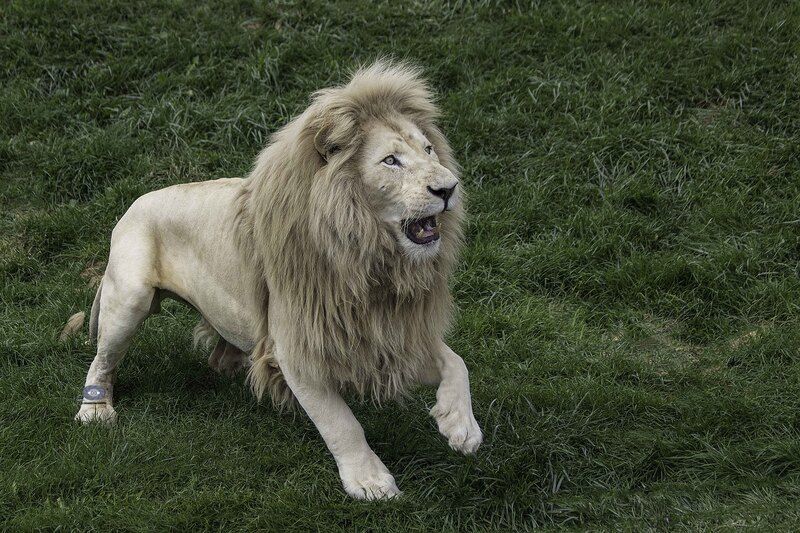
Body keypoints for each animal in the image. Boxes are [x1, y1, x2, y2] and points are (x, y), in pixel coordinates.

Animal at [73, 61, 482, 499]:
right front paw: (369, 479)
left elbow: (456, 362)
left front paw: (461, 427)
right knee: (101, 361)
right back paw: (95, 410)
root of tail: (132, 205)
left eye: (429, 150)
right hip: (130, 296)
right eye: (391, 161)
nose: (449, 188)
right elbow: (341, 423)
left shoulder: (388, 335)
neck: (369, 264)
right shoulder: (297, 346)